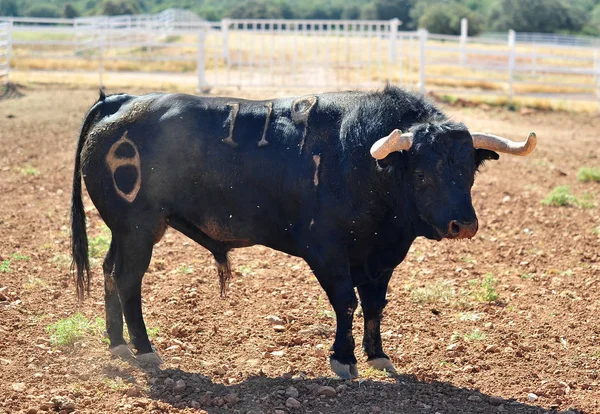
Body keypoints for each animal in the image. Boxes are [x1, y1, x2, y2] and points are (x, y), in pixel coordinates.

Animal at [70, 86, 536, 378]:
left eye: (468, 172)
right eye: (422, 174)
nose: (464, 224)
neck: (359, 163)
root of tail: (122, 101)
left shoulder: (381, 258)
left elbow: (375, 305)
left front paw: (377, 356)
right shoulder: (326, 252)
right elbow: (346, 302)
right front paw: (343, 359)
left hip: (124, 232)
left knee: (110, 272)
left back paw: (118, 344)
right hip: (138, 228)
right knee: (127, 279)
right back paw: (145, 350)